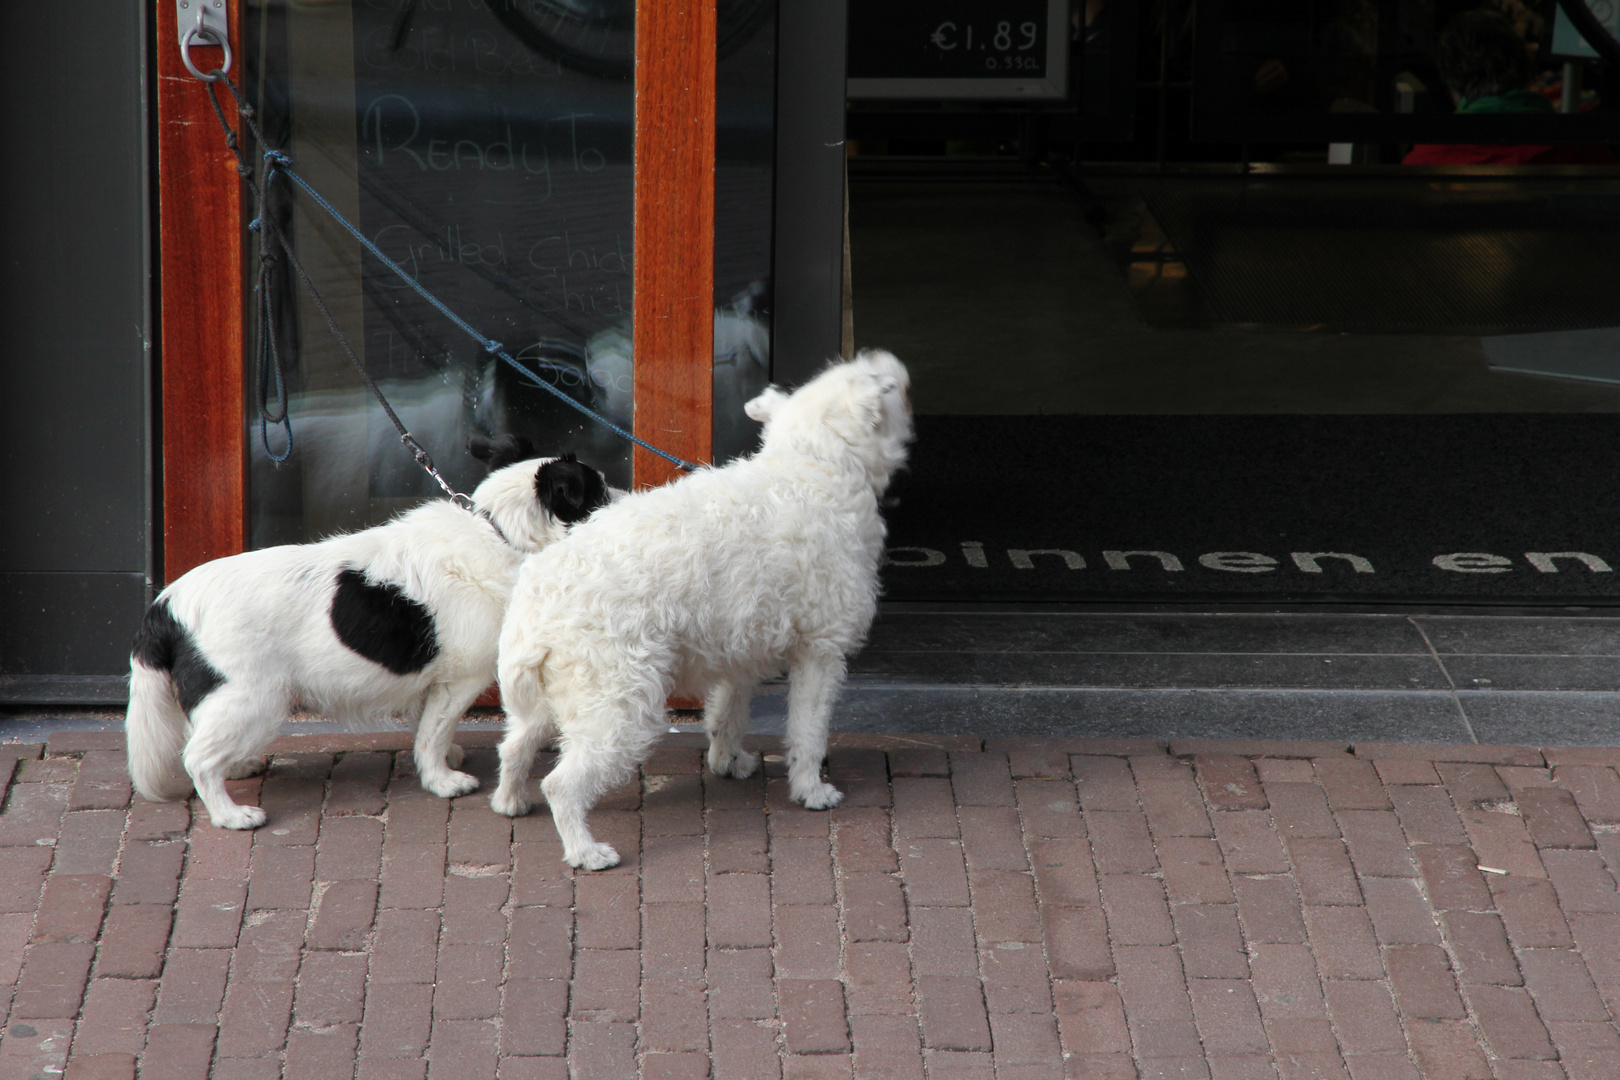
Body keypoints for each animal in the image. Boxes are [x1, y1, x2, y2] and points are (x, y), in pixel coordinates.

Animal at [124, 433, 609, 835]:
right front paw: (442, 780)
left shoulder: (436, 684)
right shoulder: (459, 681)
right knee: (197, 759)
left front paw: (445, 759)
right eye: (600, 495)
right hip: (255, 699)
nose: (624, 497)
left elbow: (429, 727)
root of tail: (166, 605)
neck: (499, 530)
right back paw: (231, 815)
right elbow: (434, 732)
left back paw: (239, 766)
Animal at [486, 354, 920, 867]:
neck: (815, 461)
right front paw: (811, 791)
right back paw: (586, 852)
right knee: (561, 785)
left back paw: (510, 802)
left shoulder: (739, 651)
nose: (887, 361)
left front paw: (729, 762)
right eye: (883, 384)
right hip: (622, 709)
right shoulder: (821, 653)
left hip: (545, 702)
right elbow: (808, 732)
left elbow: (726, 715)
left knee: (513, 749)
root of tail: (536, 600)